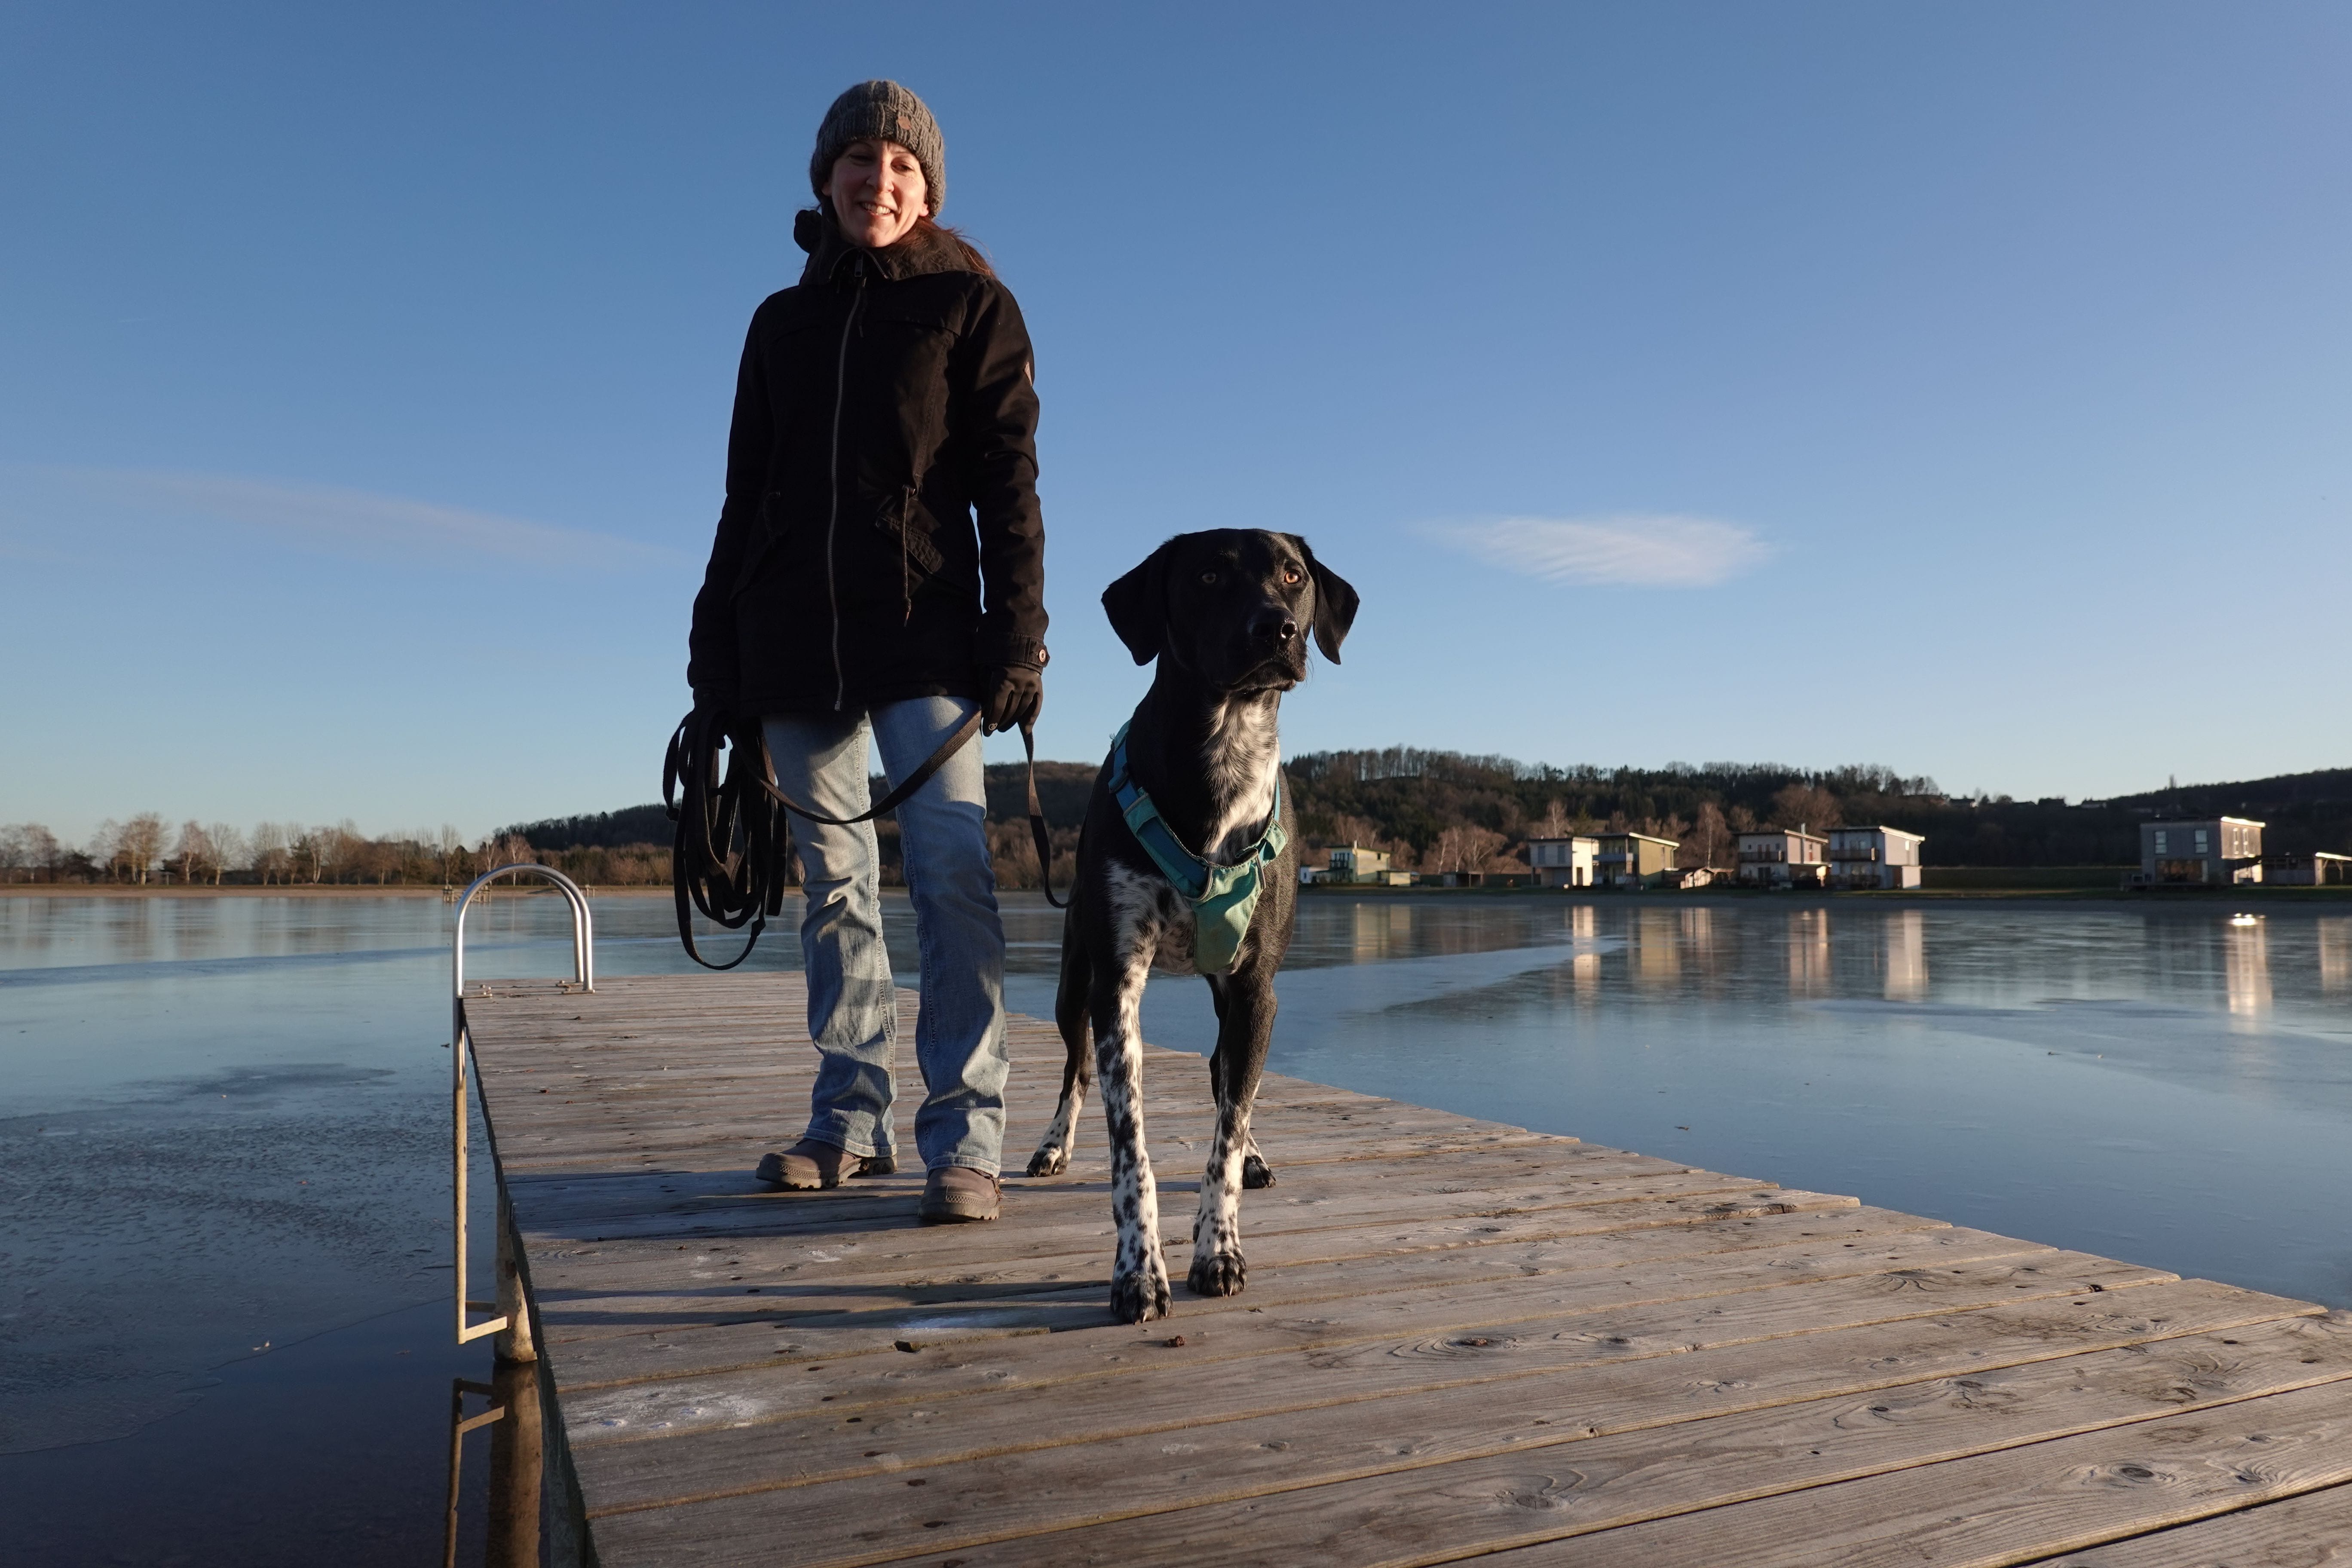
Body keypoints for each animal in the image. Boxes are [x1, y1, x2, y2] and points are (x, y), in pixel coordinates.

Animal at [1025, 531, 1364, 1326]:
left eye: (1293, 575)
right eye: (1208, 576)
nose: (1278, 630)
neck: (1225, 749)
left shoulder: (1255, 990)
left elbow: (1226, 1129)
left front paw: (1218, 1249)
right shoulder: (1117, 986)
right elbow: (1130, 1150)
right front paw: (1137, 1273)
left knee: (1222, 1077)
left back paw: (1254, 1153)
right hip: (1072, 983)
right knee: (1074, 1069)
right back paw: (1053, 1146)